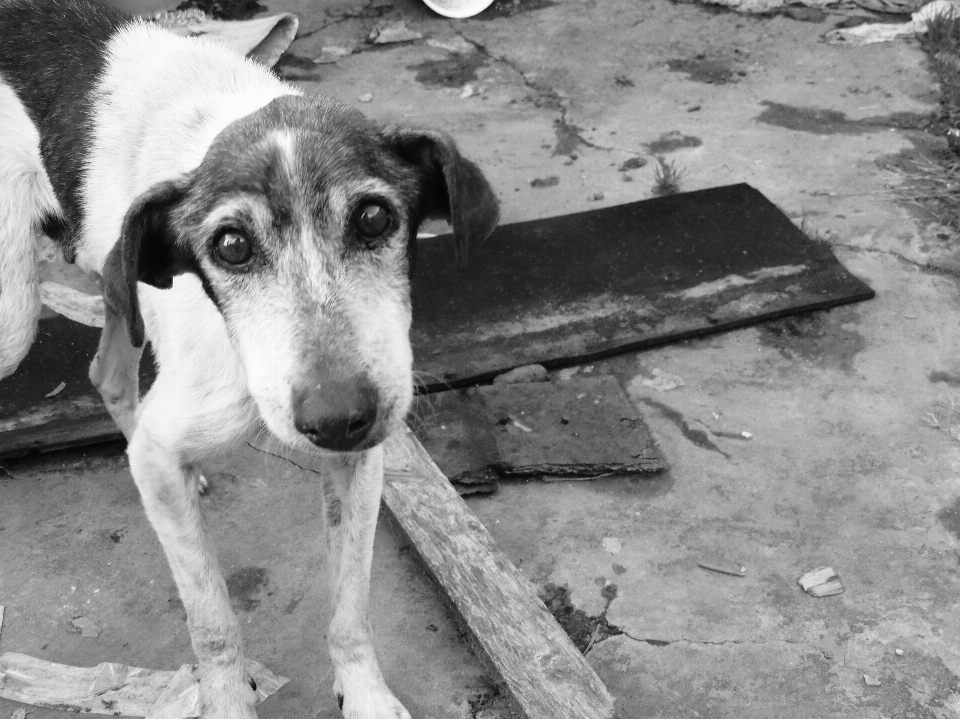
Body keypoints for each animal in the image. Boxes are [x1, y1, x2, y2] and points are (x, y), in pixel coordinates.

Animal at [1, 2, 502, 716]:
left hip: (115, 278)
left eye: (375, 218)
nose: (337, 418)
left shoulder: (359, 461)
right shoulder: (168, 450)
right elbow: (213, 623)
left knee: (108, 375)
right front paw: (227, 699)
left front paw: (365, 694)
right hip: (17, 314)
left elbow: (350, 609)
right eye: (231, 246)